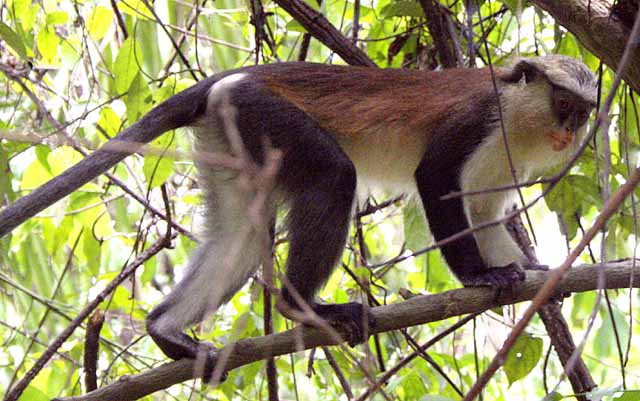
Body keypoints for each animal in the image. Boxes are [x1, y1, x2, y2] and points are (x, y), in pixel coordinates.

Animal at [0, 55, 597, 369]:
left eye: (585, 112)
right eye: (564, 104)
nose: (570, 132)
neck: (517, 116)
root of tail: (231, 79)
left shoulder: (500, 174)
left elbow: (486, 212)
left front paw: (535, 275)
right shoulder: (474, 122)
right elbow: (435, 182)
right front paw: (481, 276)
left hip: (236, 135)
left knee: (241, 235)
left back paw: (166, 330)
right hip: (267, 117)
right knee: (334, 177)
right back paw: (301, 306)